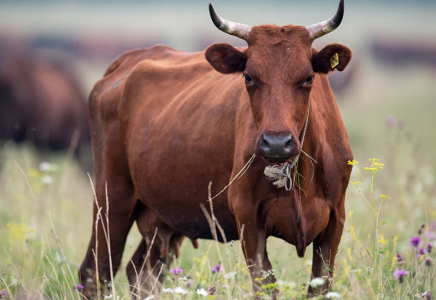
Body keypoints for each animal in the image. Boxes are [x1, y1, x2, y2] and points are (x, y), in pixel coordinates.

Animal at [79, 1, 354, 298]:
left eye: (308, 78)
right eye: (248, 77)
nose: (277, 142)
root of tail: (127, 61)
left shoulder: (335, 219)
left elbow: (321, 285)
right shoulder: (248, 220)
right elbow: (265, 286)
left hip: (162, 216)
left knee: (140, 272)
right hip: (111, 198)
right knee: (96, 272)